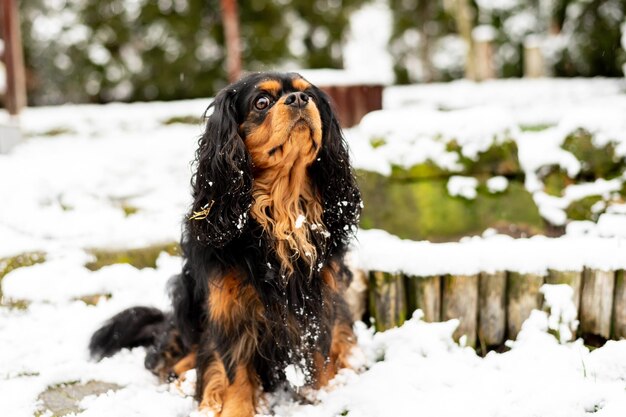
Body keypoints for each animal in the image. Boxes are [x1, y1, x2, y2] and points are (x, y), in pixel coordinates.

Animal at [88, 70, 360, 414]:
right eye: (262, 102)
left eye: (308, 94)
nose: (299, 99)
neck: (282, 208)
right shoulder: (227, 306)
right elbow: (232, 368)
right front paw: (235, 408)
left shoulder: (321, 298)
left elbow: (322, 351)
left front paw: (326, 397)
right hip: (184, 294)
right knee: (176, 358)